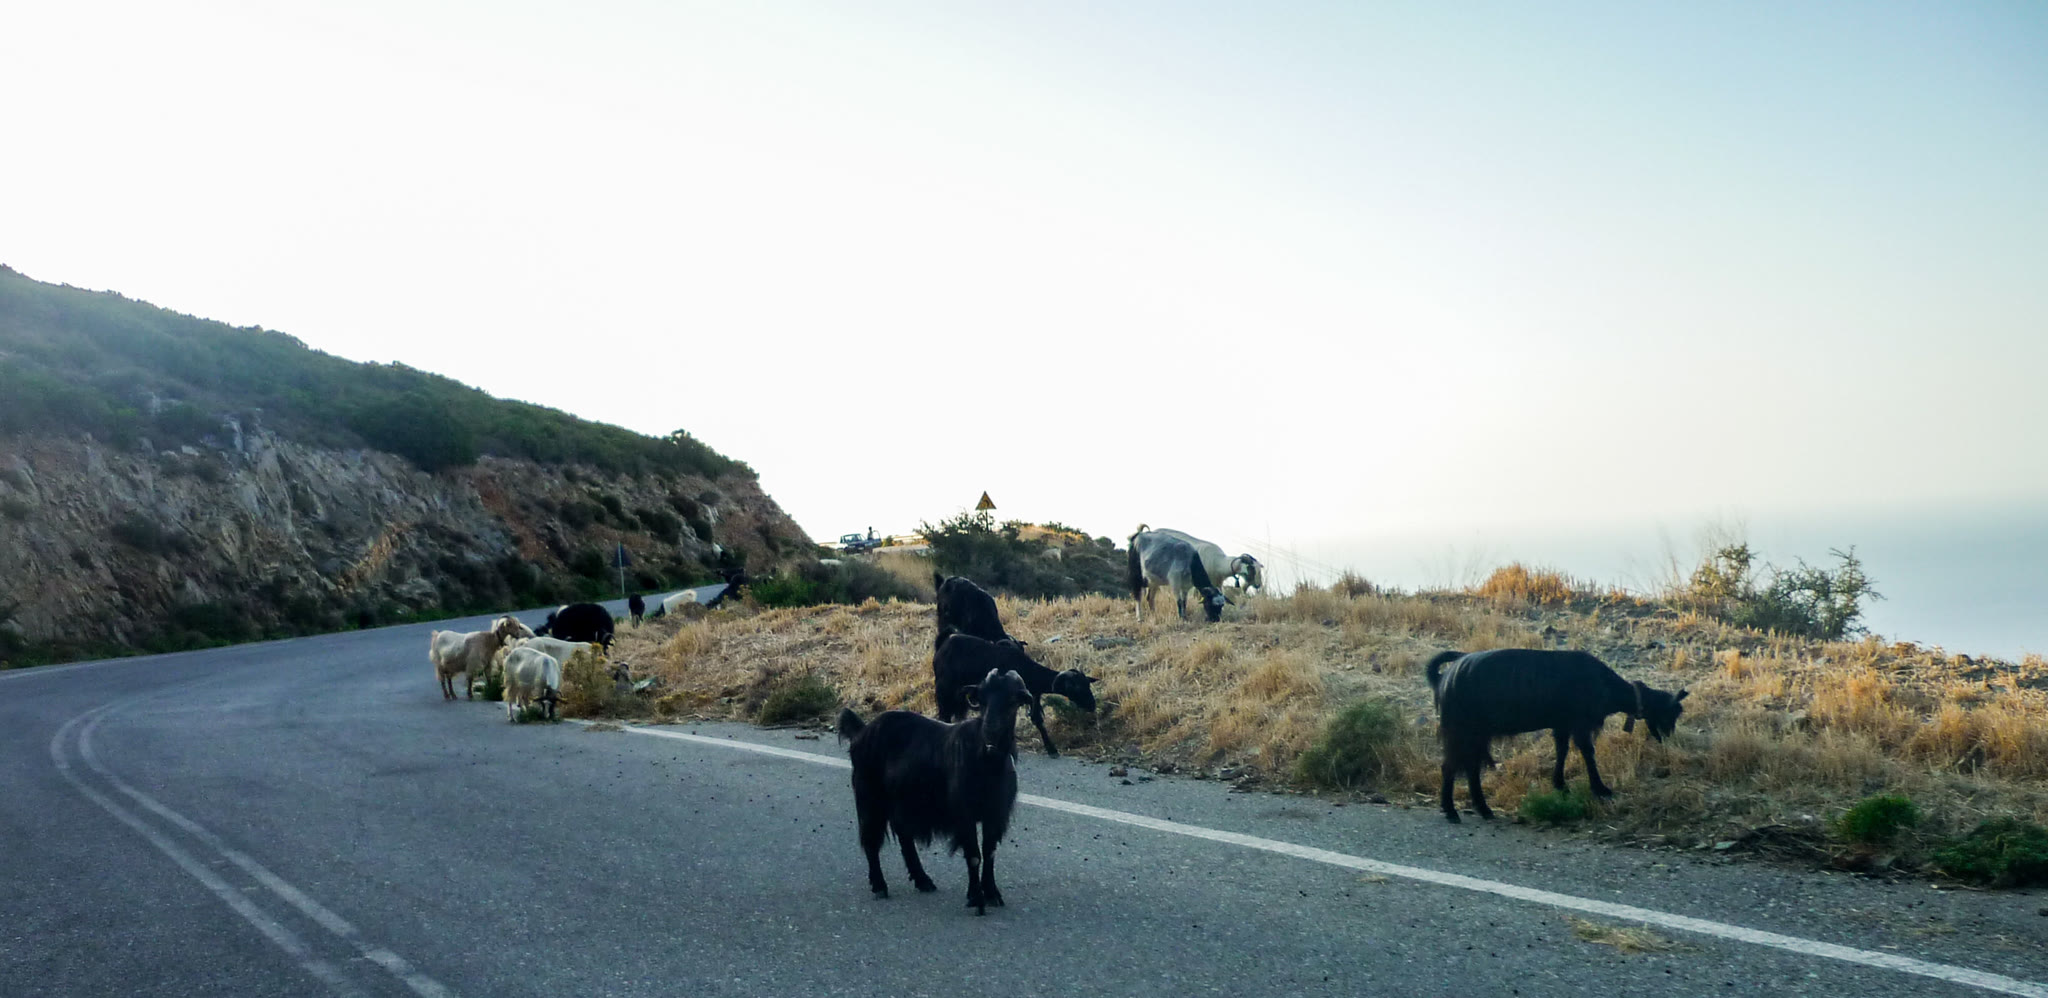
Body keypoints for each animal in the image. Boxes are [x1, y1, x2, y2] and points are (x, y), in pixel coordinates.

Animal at [837, 668, 1031, 915]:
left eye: (1012, 701)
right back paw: (880, 886)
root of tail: (863, 731)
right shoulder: (964, 813)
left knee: (904, 837)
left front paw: (992, 894)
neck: (986, 758)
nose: (990, 729)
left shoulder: (995, 815)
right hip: (869, 796)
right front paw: (976, 898)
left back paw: (923, 880)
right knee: (871, 840)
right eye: (982, 700)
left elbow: (989, 853)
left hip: (902, 803)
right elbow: (974, 856)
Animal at [933, 634, 1098, 758]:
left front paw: (1051, 748)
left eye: (1087, 684)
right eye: (1075, 688)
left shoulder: (1033, 697)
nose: (1092, 705)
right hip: (944, 690)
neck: (1027, 670)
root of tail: (943, 648)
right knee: (944, 714)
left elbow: (1037, 720)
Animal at [1426, 648, 1688, 823]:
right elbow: (1588, 752)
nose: (1668, 740)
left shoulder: (1563, 724)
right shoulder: (1580, 723)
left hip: (1478, 732)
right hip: (1461, 728)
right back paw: (1451, 811)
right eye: (1671, 714)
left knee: (1471, 767)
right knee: (1450, 766)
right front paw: (1600, 789)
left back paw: (1484, 810)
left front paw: (1560, 785)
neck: (1605, 685)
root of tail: (1444, 678)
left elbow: (1561, 750)